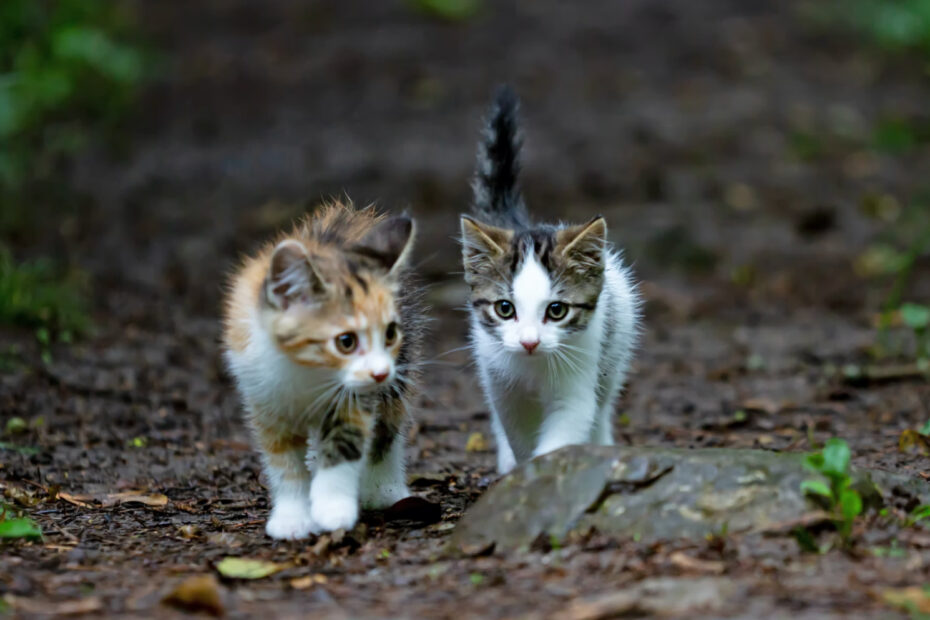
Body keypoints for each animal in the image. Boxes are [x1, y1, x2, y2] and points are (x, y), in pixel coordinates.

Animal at [221, 202, 420, 536]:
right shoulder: (263, 397)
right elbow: (283, 461)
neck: (307, 371)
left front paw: (332, 508)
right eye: (346, 341)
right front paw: (292, 518)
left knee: (388, 427)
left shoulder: (357, 397)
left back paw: (385, 488)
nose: (380, 372)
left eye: (390, 333)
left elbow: (346, 443)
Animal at [458, 87, 636, 474]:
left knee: (603, 406)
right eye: (505, 308)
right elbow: (517, 432)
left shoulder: (580, 371)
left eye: (557, 311)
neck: (533, 367)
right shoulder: (501, 383)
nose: (529, 342)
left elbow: (568, 427)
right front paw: (521, 472)